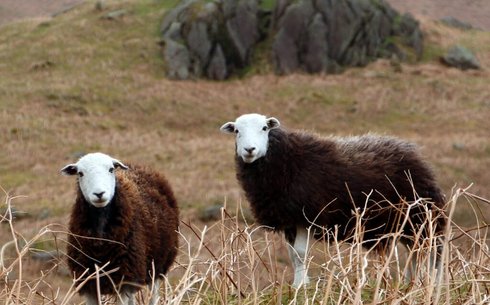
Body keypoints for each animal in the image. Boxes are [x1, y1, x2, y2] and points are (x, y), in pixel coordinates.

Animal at [59, 152, 178, 304]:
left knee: (153, 295)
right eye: (80, 173)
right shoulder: (89, 282)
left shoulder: (123, 280)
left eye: (111, 169)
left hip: (157, 265)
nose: (99, 194)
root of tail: (139, 166)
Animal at [220, 113, 446, 286]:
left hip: (422, 216)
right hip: (408, 222)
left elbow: (301, 253)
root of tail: (412, 152)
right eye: (237, 131)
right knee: (415, 251)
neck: (287, 162)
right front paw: (297, 284)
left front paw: (301, 286)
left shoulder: (307, 215)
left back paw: (432, 284)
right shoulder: (289, 219)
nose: (249, 150)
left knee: (431, 252)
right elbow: (293, 256)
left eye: (264, 128)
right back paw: (411, 284)